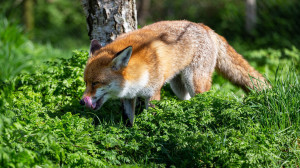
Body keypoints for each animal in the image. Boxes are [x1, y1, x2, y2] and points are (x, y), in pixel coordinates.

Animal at [78, 20, 268, 125]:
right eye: (86, 82)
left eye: (96, 83)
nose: (81, 102)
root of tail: (204, 27)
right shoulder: (128, 97)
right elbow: (128, 121)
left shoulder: (153, 93)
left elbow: (151, 119)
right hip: (178, 87)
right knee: (187, 101)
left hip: (194, 82)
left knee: (204, 102)